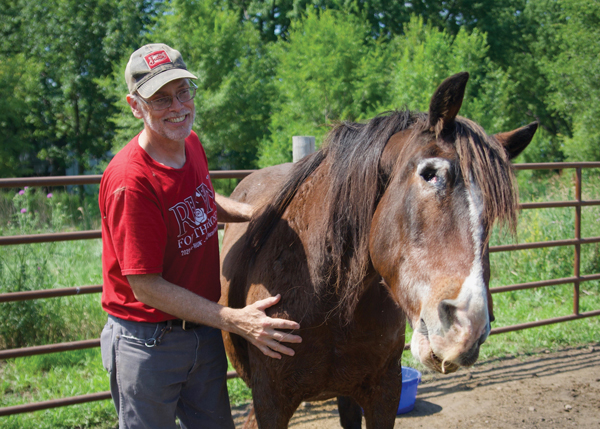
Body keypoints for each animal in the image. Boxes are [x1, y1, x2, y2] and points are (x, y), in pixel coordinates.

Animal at [218, 72, 536, 426]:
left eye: (492, 210)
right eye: (429, 174)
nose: (469, 327)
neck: (323, 292)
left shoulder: (384, 392)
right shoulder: (269, 402)